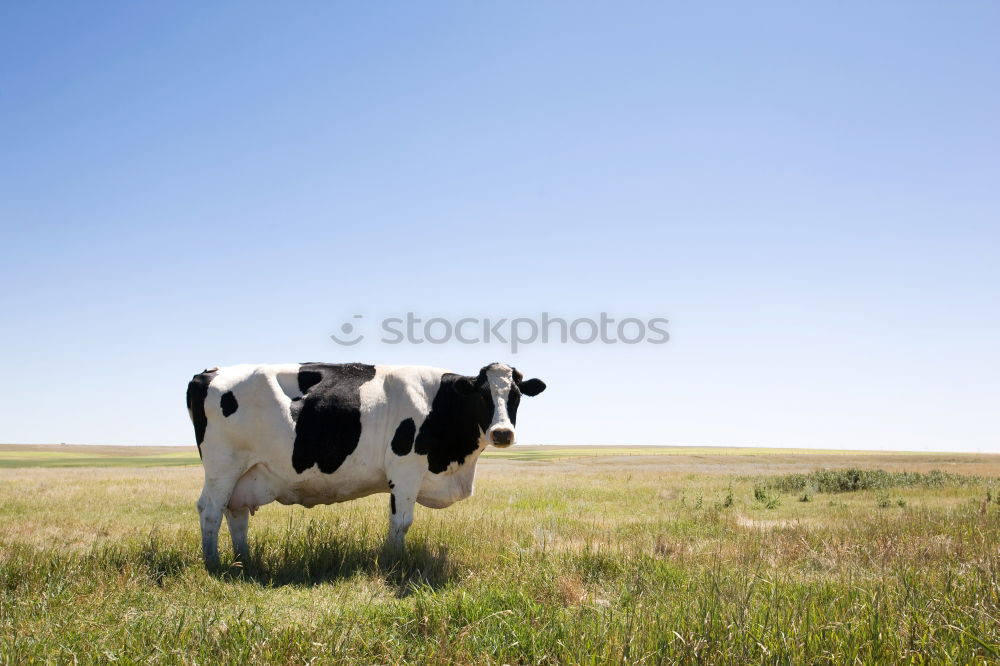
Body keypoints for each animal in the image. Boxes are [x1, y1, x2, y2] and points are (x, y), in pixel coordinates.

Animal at [188, 360, 548, 564]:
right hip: (223, 466)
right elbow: (401, 522)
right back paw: (213, 563)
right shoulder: (406, 470)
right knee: (210, 510)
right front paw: (395, 561)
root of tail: (209, 372)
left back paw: (244, 561)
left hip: (245, 474)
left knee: (235, 513)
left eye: (516, 396)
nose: (502, 433)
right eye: (482, 396)